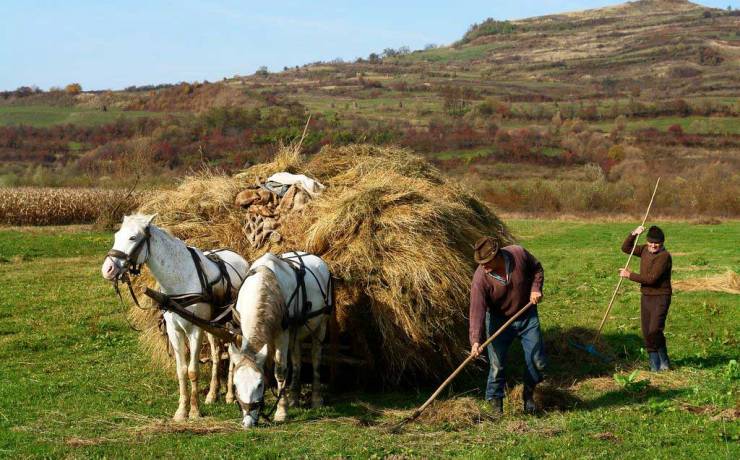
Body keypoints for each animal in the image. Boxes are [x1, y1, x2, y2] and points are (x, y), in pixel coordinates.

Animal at [101, 215, 249, 420]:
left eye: (132, 237)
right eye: (116, 235)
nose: (107, 269)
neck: (180, 279)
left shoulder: (195, 329)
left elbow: (193, 371)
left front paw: (194, 411)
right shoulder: (174, 330)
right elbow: (182, 370)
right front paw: (181, 410)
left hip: (231, 322)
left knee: (233, 350)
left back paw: (230, 395)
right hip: (213, 324)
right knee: (217, 353)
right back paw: (213, 393)